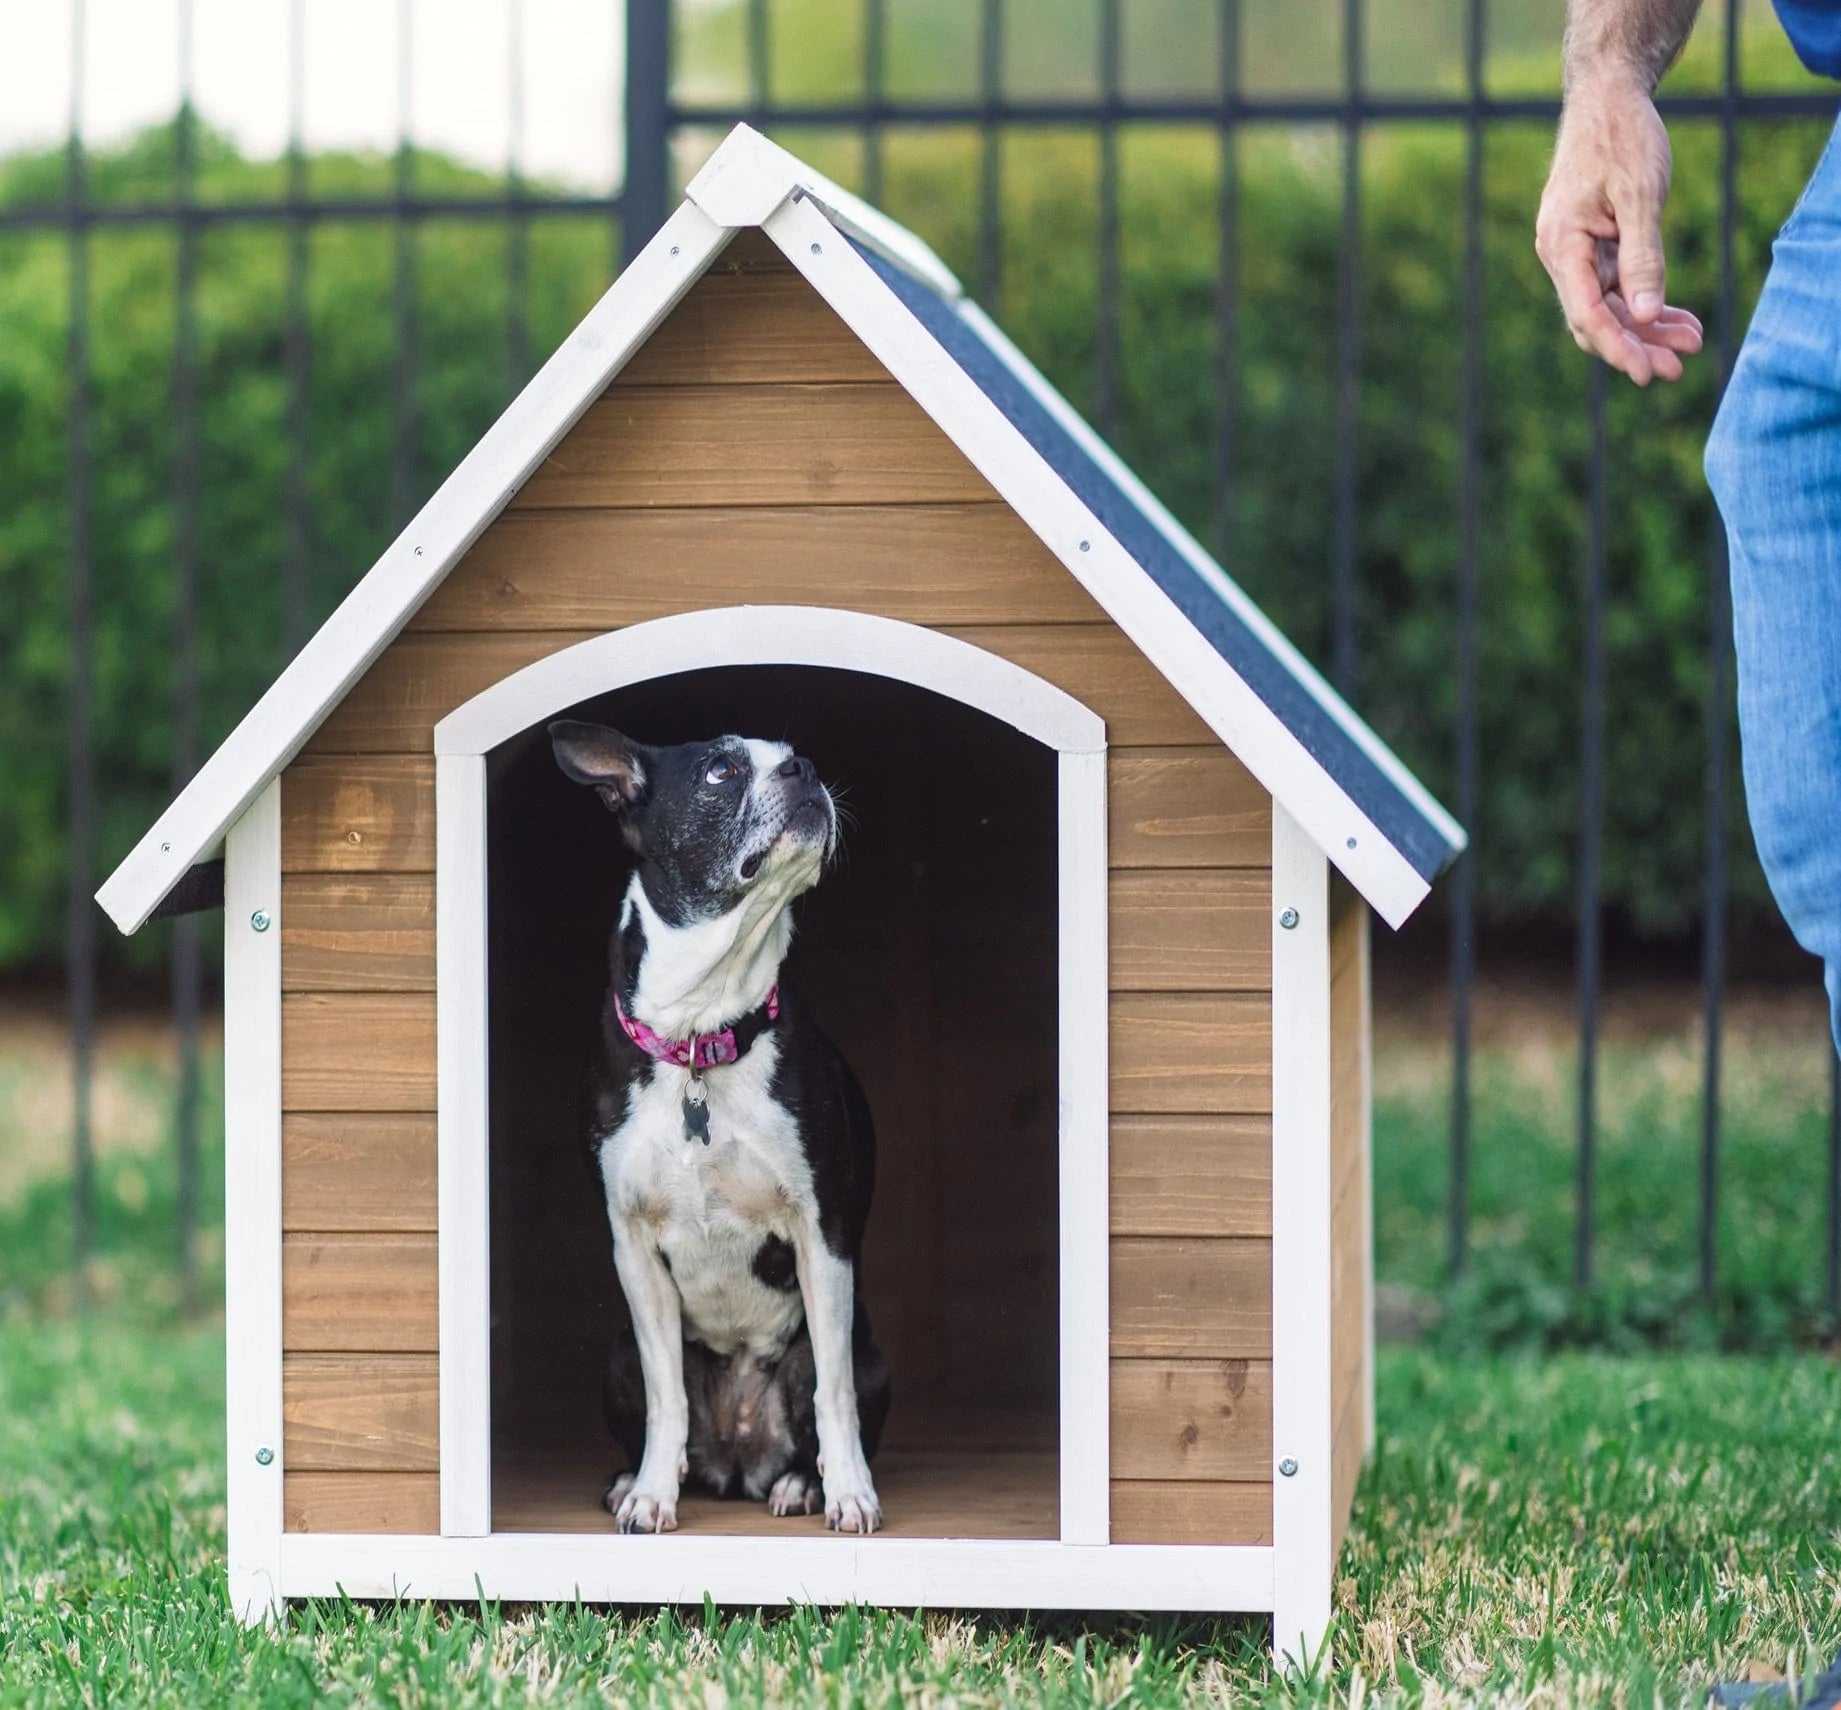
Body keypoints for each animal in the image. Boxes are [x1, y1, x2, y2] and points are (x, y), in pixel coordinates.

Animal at [544, 721, 891, 1531]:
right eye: (719, 772)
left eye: (794, 756)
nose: (806, 770)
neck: (701, 1032)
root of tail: (738, 1462)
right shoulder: (633, 1248)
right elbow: (665, 1394)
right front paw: (650, 1493)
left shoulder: (821, 1234)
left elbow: (833, 1394)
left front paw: (849, 1492)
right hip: (614, 1358)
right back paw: (631, 1478)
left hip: (868, 1359)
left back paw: (801, 1484)